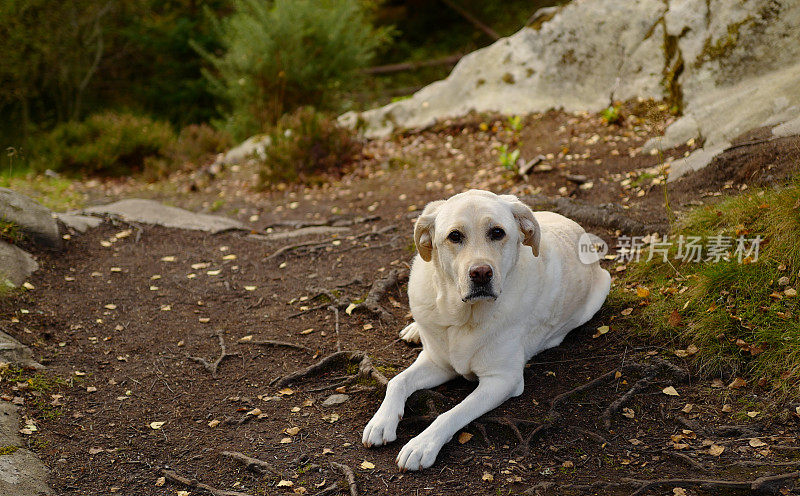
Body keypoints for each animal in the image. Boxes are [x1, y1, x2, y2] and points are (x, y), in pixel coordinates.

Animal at [364, 188, 612, 470]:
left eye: (497, 232)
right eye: (455, 236)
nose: (481, 273)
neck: (464, 318)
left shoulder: (502, 379)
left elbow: (453, 412)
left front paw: (422, 444)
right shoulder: (438, 363)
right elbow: (397, 381)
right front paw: (381, 422)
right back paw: (415, 330)